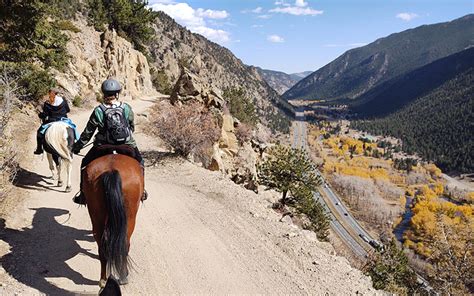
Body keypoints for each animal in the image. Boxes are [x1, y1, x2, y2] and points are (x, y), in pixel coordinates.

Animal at [82, 154, 143, 288]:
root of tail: (111, 170)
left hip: (96, 216)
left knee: (102, 248)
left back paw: (103, 280)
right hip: (130, 218)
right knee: (125, 245)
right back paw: (123, 276)